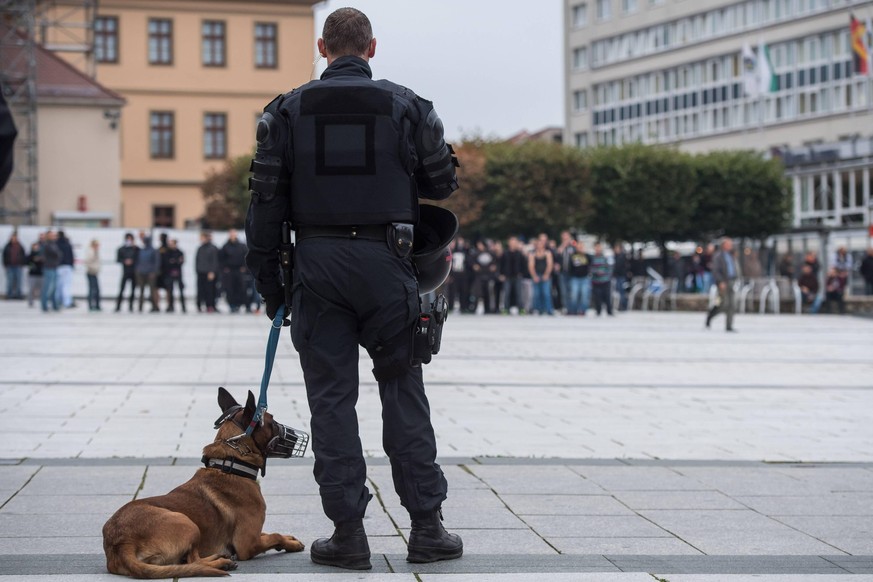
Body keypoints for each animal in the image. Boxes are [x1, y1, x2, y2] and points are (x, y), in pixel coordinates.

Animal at [102, 388, 304, 580]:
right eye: (273, 422)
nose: (296, 435)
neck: (230, 465)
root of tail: (120, 542)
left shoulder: (255, 535)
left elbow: (271, 533)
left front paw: (290, 540)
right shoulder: (248, 544)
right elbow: (273, 536)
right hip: (187, 523)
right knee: (193, 560)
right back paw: (220, 562)